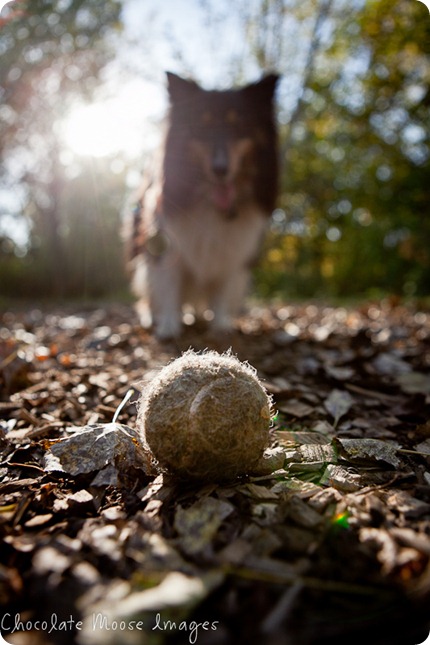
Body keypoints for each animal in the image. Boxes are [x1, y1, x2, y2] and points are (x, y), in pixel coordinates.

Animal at [126, 72, 278, 340]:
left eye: (238, 124)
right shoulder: (166, 244)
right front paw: (168, 326)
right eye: (202, 125)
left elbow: (222, 292)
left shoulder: (233, 251)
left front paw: (221, 326)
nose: (221, 169)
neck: (210, 203)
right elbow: (168, 286)